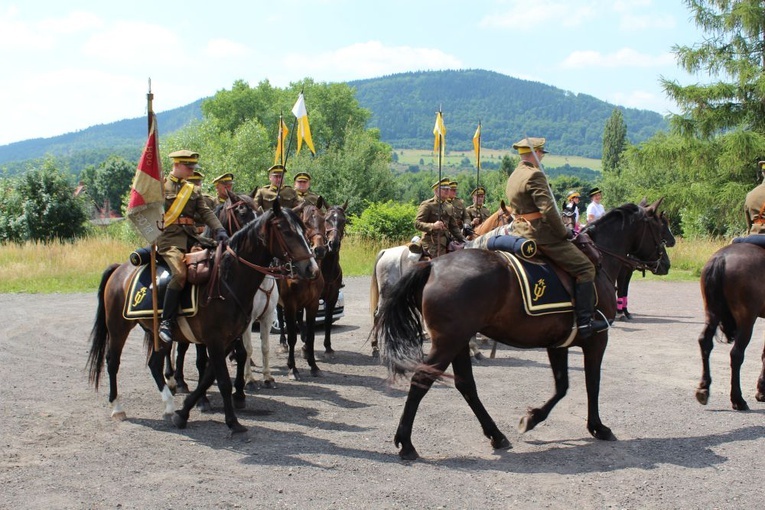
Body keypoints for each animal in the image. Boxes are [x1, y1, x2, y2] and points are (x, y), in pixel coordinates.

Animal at [86, 201, 320, 432]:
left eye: (303, 229)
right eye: (286, 231)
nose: (312, 268)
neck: (226, 281)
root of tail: (120, 269)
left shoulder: (226, 341)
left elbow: (209, 376)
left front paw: (184, 412)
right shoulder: (214, 340)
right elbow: (221, 379)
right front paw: (232, 422)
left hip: (155, 333)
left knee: (154, 363)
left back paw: (169, 405)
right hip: (118, 327)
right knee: (113, 362)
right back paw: (118, 407)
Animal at [372, 198, 668, 458]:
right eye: (660, 227)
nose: (665, 263)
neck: (599, 261)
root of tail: (432, 264)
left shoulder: (557, 342)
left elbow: (562, 385)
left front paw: (533, 418)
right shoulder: (597, 337)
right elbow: (592, 383)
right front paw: (597, 426)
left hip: (457, 342)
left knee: (465, 384)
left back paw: (496, 435)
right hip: (448, 342)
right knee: (421, 380)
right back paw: (406, 443)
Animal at [696, 239, 764, 410]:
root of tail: (721, 258)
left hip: (712, 313)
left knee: (705, 342)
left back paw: (703, 388)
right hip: (746, 320)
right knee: (736, 354)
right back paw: (738, 399)